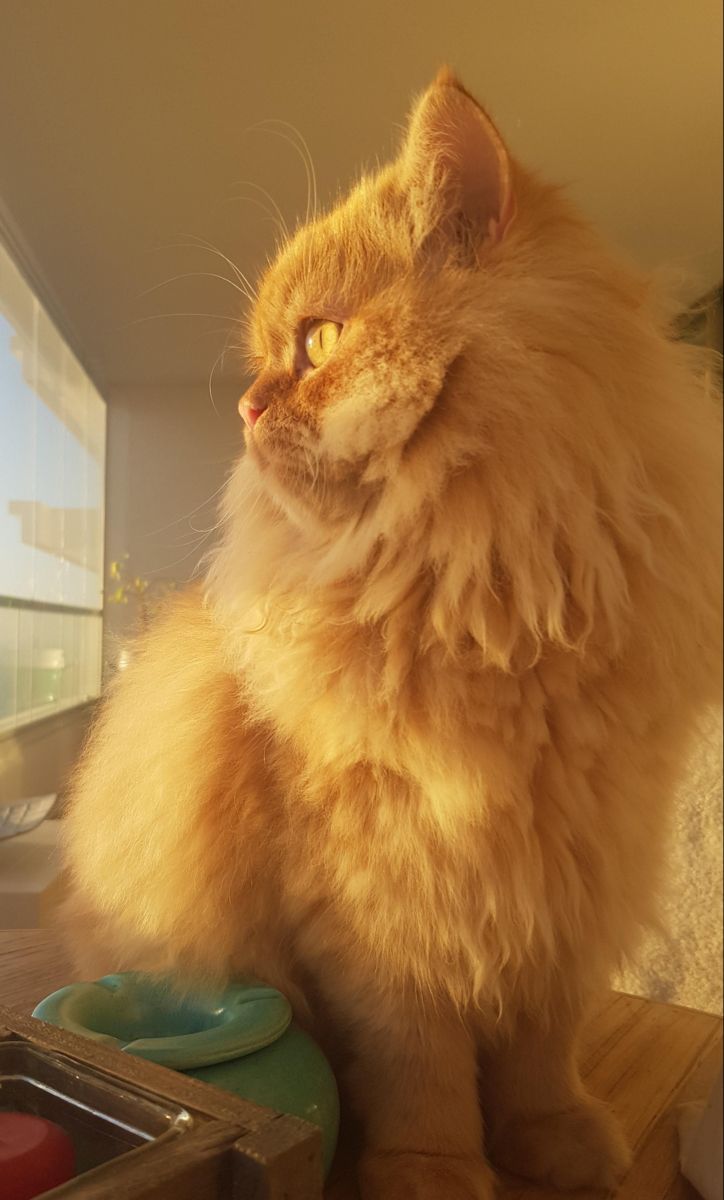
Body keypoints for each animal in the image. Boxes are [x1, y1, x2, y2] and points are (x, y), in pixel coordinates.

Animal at [65, 70, 720, 1195]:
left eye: (319, 342)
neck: (484, 602)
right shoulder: (382, 905)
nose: (244, 408)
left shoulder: (570, 880)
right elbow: (421, 1066)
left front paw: (557, 1145)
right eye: (261, 363)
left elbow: (540, 1055)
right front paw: (432, 1168)